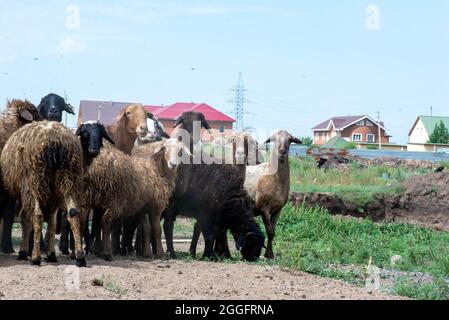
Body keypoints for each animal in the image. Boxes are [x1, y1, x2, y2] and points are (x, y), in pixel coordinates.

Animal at [0, 121, 85, 266]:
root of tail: (54, 141)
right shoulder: (52, 197)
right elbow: (51, 222)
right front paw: (51, 254)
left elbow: (25, 218)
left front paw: (23, 252)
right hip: (68, 181)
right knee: (73, 214)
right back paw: (80, 257)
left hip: (33, 181)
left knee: (37, 215)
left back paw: (35, 257)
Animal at [243, 130, 302, 258]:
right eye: (273, 139)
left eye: (290, 140)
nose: (282, 152)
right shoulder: (263, 208)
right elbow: (269, 231)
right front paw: (268, 254)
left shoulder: (278, 209)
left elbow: (273, 232)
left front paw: (270, 254)